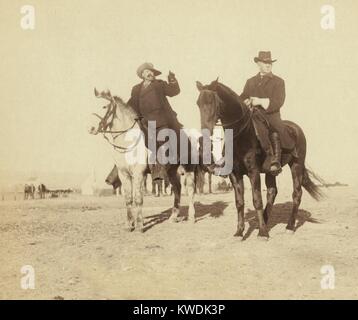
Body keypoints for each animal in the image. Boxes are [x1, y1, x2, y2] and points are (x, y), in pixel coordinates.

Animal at [89, 89, 196, 231]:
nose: (91, 128)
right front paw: (129, 225)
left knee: (190, 189)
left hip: (188, 168)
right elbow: (128, 199)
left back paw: (192, 217)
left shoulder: (138, 173)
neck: (128, 141)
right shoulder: (124, 175)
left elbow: (138, 198)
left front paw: (139, 225)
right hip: (171, 171)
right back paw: (173, 217)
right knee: (177, 189)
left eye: (104, 106)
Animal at [196, 80, 322, 240]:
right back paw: (265, 221)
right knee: (272, 192)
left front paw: (262, 233)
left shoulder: (253, 172)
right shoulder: (235, 174)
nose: (205, 132)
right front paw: (239, 232)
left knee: (296, 194)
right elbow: (239, 202)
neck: (241, 134)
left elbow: (257, 200)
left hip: (296, 165)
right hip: (271, 171)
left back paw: (289, 226)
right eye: (198, 103)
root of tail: (296, 129)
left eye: (212, 102)